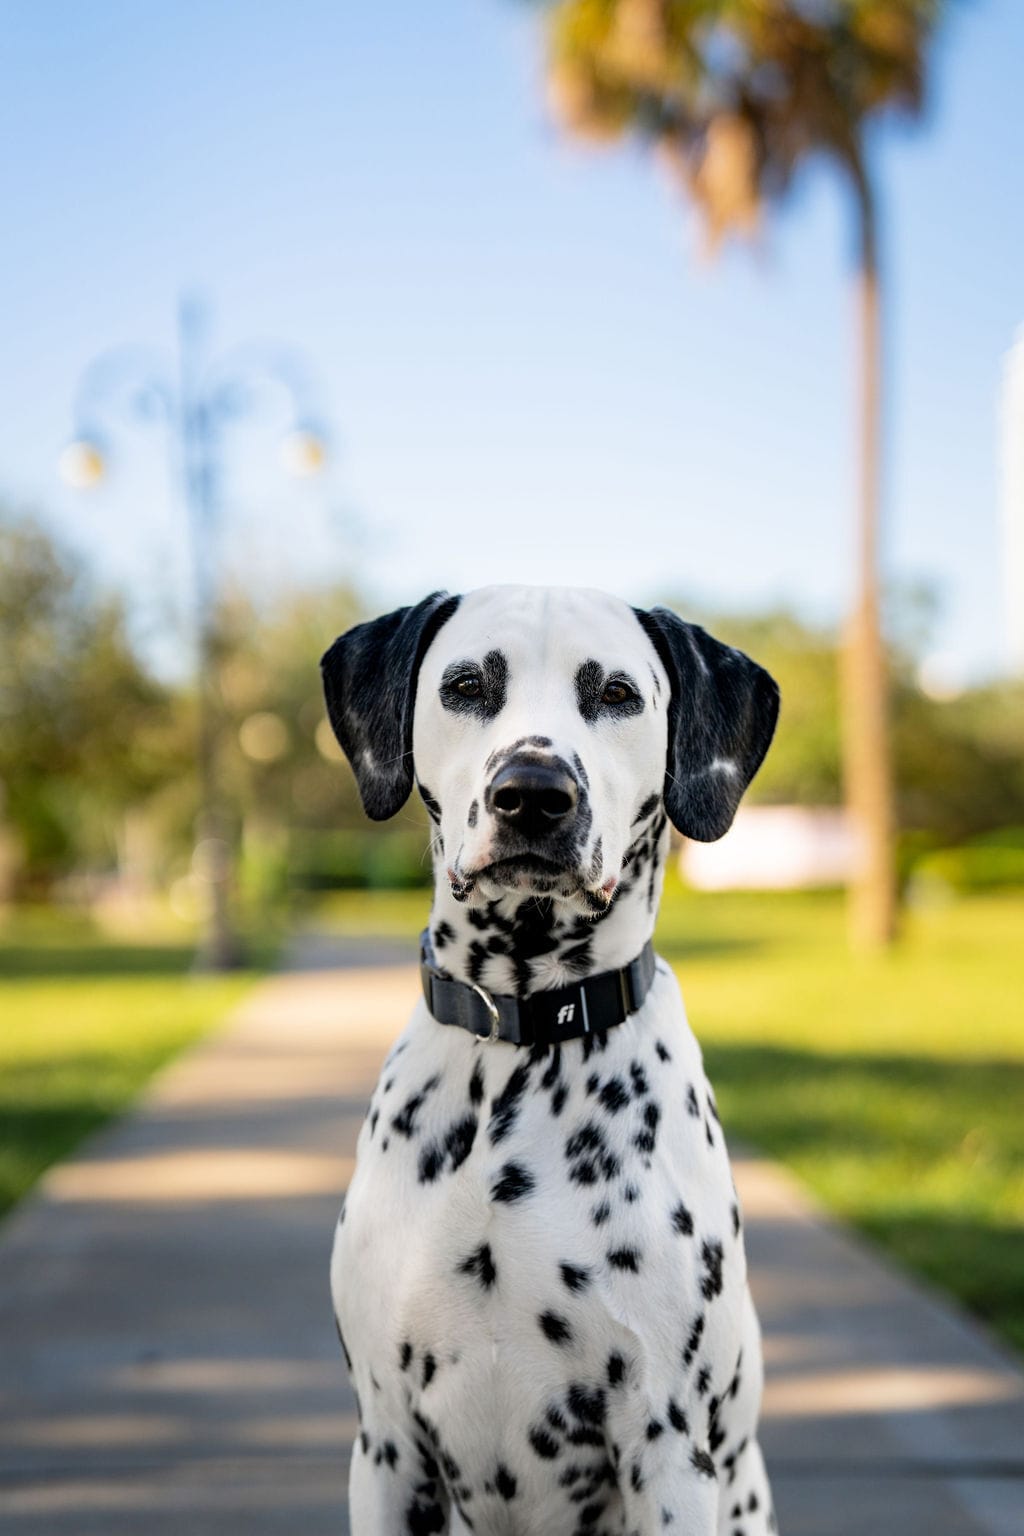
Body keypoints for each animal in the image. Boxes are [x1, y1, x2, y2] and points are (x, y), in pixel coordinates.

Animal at [323, 580, 779, 1529]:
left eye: (617, 694)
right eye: (465, 685)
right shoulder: (385, 1443)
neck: (522, 1039)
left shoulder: (669, 1448)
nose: (532, 793)